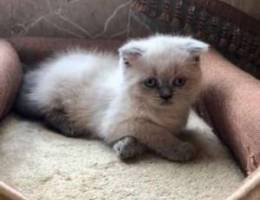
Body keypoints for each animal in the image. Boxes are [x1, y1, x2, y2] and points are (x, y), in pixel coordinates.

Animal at [14, 35, 209, 162]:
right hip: (57, 96)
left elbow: (145, 138)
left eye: (179, 82)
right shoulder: (116, 124)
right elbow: (155, 132)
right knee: (46, 113)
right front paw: (181, 150)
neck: (164, 115)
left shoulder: (173, 127)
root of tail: (41, 71)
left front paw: (126, 148)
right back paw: (70, 127)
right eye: (151, 82)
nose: (166, 96)